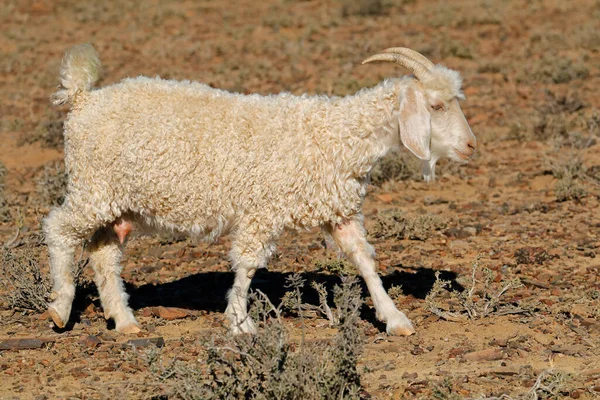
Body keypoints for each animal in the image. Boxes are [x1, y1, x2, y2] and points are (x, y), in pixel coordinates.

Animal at [44, 44, 476, 334]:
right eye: (436, 106)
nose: (471, 146)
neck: (336, 134)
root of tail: (83, 99)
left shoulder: (340, 211)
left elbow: (364, 261)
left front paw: (395, 318)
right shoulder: (262, 209)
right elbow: (248, 264)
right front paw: (239, 322)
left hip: (116, 203)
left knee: (104, 253)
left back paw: (124, 320)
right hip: (92, 187)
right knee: (60, 230)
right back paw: (60, 309)